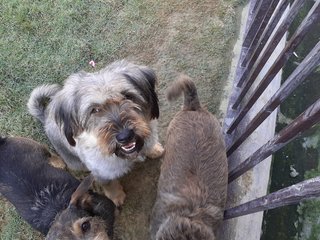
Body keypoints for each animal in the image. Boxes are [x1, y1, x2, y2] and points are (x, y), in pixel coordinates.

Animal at [26, 60, 165, 204]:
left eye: (128, 96)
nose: (125, 136)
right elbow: (108, 184)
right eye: (95, 110)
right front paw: (117, 196)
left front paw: (154, 150)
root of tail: (46, 116)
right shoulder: (102, 172)